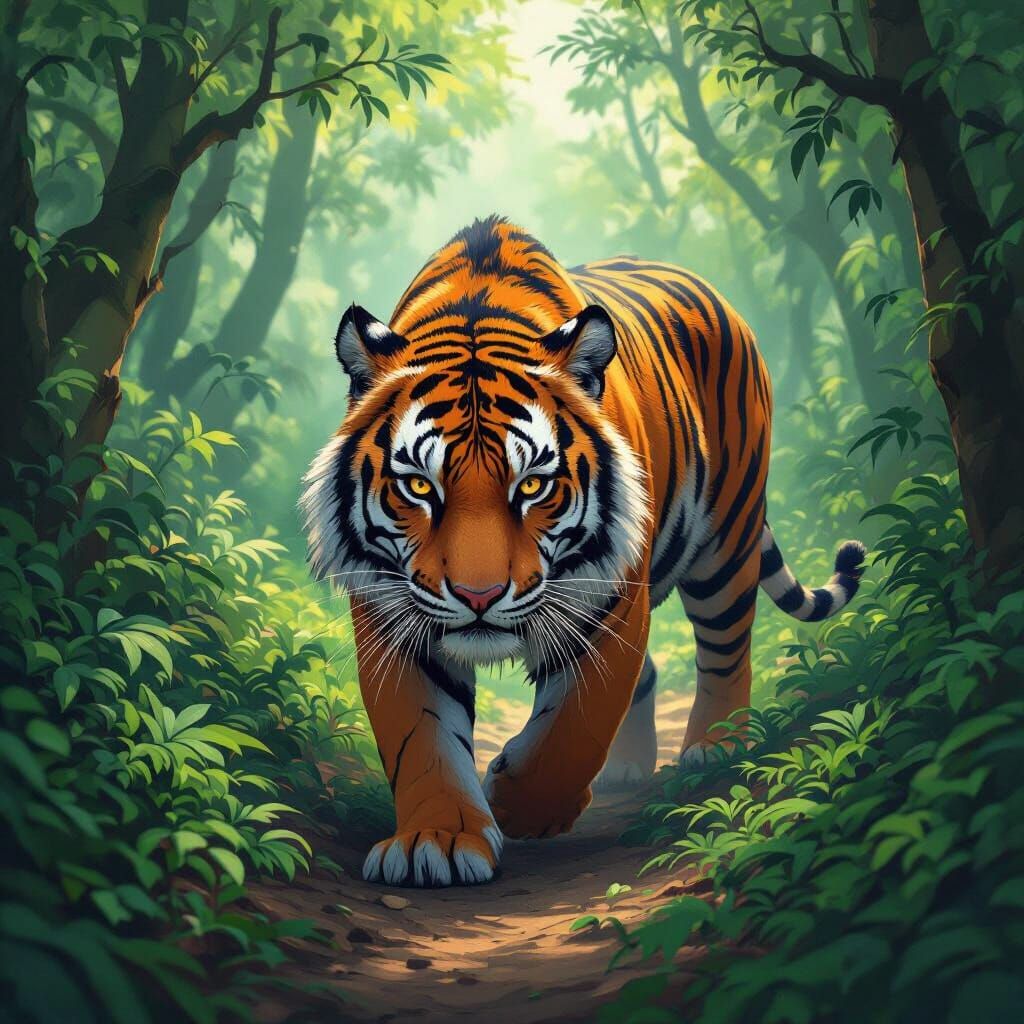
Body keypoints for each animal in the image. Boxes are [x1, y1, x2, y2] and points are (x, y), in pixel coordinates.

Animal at [302, 215, 865, 888]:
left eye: (532, 486)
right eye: (419, 486)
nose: (478, 597)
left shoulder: (612, 600)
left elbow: (576, 726)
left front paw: (519, 804)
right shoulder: (392, 614)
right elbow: (423, 737)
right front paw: (434, 842)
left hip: (727, 536)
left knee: (727, 645)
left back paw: (716, 747)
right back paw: (628, 768)